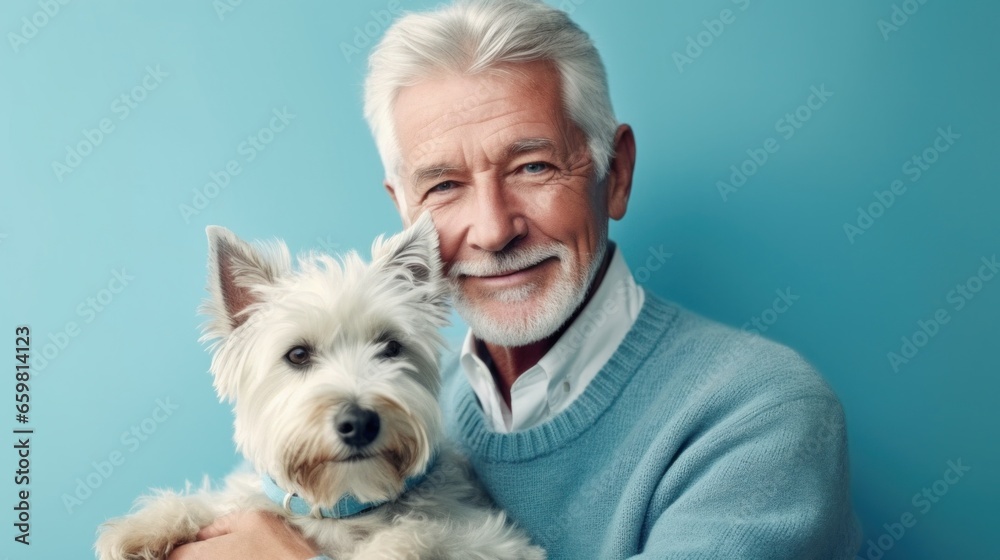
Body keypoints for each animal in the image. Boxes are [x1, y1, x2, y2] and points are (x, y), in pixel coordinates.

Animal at [95, 215, 548, 560]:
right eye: (297, 355)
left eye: (390, 347)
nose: (360, 423)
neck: (346, 500)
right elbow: (223, 499)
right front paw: (145, 525)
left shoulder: (498, 542)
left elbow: (424, 531)